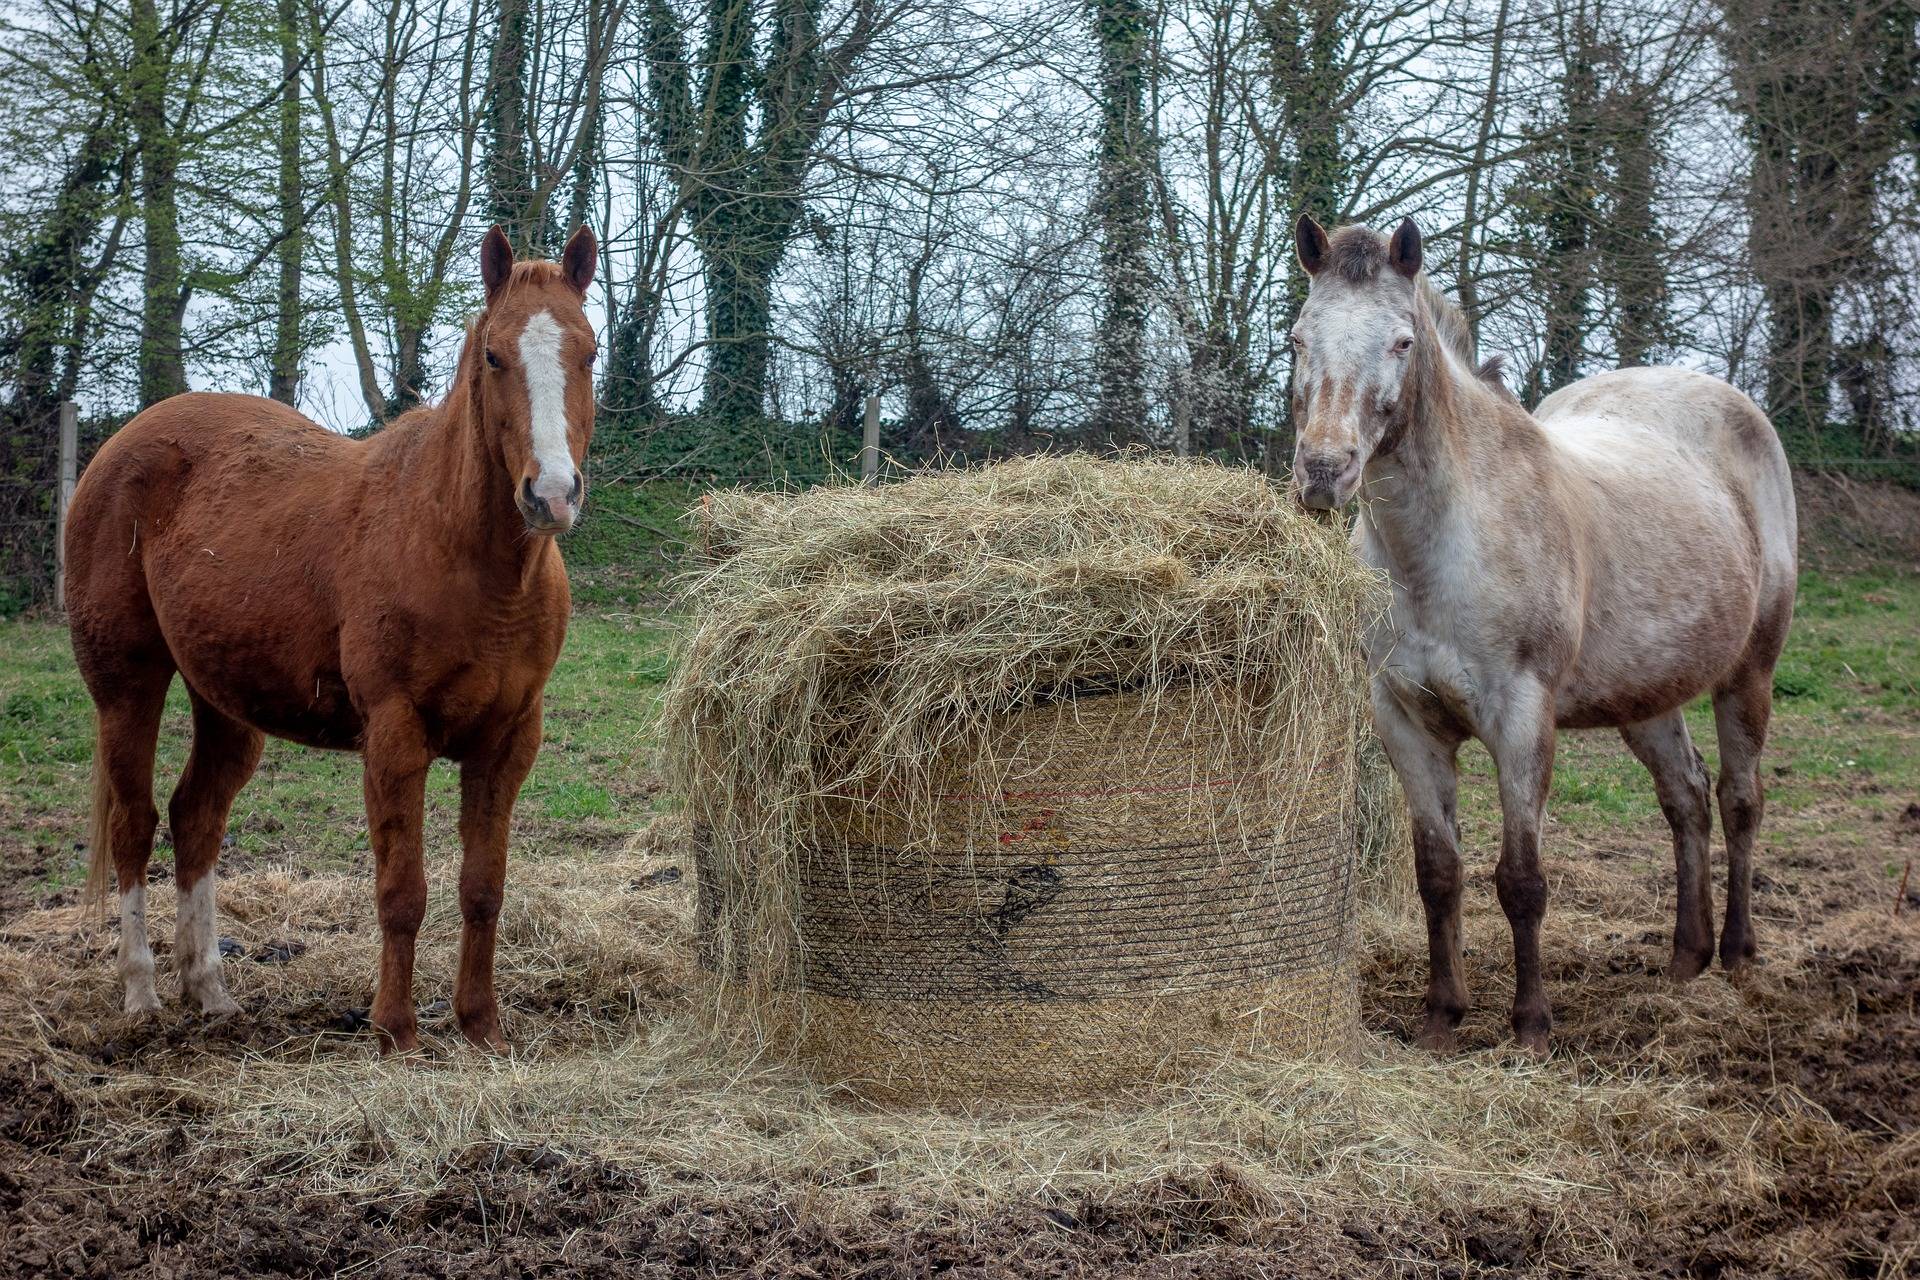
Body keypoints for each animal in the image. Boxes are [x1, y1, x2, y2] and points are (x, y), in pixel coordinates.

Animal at [67, 225, 595, 1059]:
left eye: (589, 353)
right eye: (493, 357)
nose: (550, 495)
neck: (460, 551)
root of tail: (122, 445)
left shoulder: (509, 742)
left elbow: (483, 889)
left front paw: (481, 1027)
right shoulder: (395, 736)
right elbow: (402, 892)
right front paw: (396, 1031)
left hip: (225, 703)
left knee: (196, 818)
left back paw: (209, 991)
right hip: (126, 688)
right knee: (135, 825)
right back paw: (143, 993)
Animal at [1290, 217, 1797, 1051]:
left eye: (1402, 341)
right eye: (1299, 337)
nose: (1324, 473)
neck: (1440, 547)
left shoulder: (1522, 718)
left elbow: (1520, 881)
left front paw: (1530, 1025)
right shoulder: (1404, 721)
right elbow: (1439, 873)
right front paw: (1441, 1017)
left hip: (1749, 673)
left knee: (1739, 799)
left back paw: (1738, 954)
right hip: (1647, 694)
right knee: (1686, 797)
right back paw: (1684, 962)